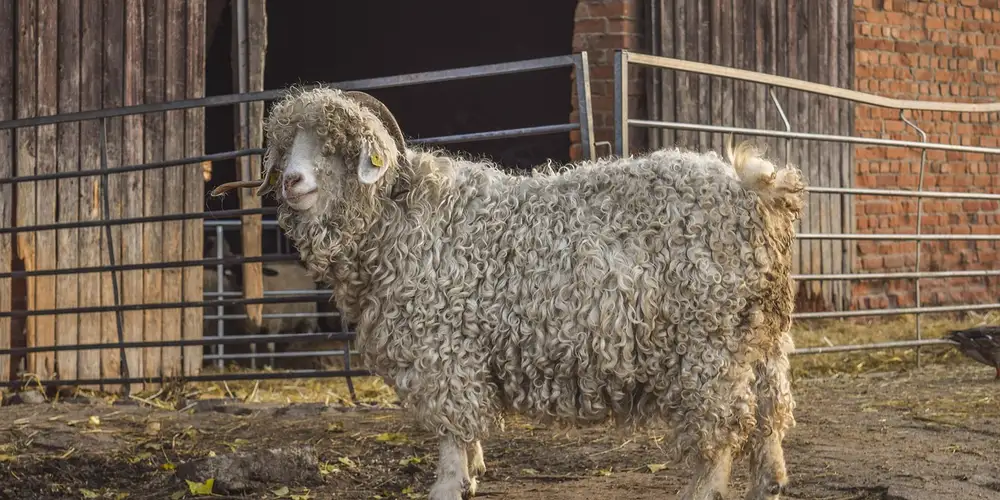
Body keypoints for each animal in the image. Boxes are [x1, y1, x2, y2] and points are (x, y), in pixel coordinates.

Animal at [211, 86, 806, 500]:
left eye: (337, 148)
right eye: (286, 145)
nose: (293, 181)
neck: (401, 219)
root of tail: (758, 191)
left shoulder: (442, 345)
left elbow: (452, 425)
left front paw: (449, 485)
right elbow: (467, 426)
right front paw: (473, 473)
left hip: (707, 345)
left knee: (723, 425)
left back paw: (703, 488)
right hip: (761, 335)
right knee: (771, 409)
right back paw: (770, 482)